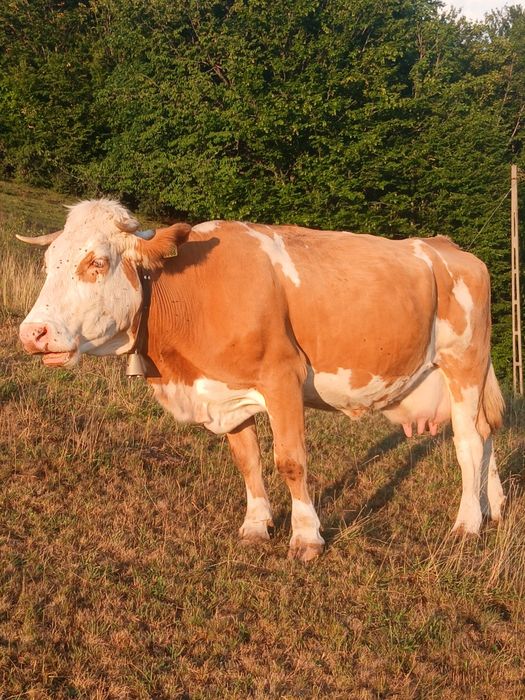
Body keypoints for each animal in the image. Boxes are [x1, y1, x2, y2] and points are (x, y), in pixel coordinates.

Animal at [18, 199, 505, 561]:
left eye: (97, 263)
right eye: (48, 263)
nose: (32, 333)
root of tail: (447, 246)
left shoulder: (282, 376)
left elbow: (290, 460)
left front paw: (306, 537)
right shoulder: (225, 391)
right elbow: (247, 460)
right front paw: (256, 525)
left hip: (465, 363)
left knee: (468, 442)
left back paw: (467, 523)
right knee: (485, 435)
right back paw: (494, 508)